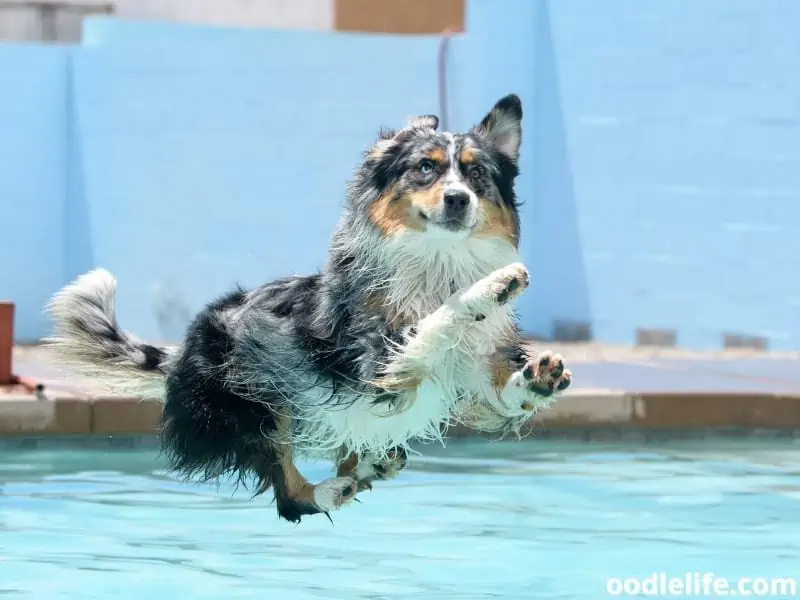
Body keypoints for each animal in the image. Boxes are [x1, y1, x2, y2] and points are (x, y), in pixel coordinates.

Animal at [43, 94, 572, 520]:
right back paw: (335, 489)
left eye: (477, 173)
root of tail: (182, 349)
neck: (436, 263)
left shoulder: (474, 381)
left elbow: (505, 394)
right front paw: (491, 286)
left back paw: (372, 466)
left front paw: (538, 377)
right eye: (425, 167)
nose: (458, 199)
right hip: (257, 401)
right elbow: (434, 322)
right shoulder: (380, 370)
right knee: (289, 497)